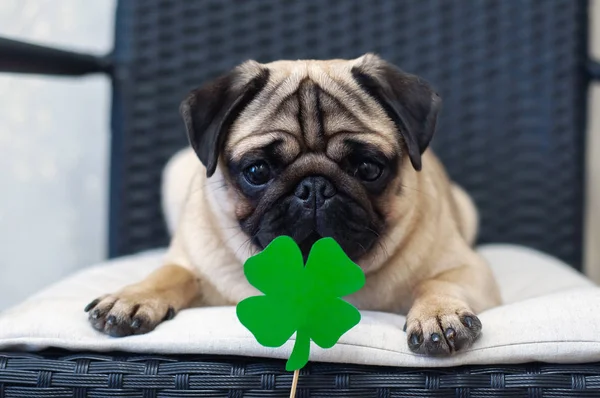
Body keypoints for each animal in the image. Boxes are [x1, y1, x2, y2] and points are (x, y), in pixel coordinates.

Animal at [85, 54, 502, 356]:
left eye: (368, 168)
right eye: (257, 171)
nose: (314, 188)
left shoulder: (468, 268)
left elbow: (436, 281)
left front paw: (437, 314)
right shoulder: (190, 261)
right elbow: (170, 273)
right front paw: (132, 297)